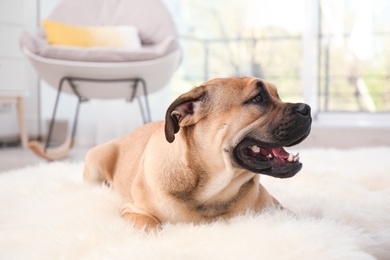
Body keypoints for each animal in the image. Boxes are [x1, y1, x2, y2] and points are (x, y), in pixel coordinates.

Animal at [84, 76, 312, 232]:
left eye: (277, 95)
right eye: (258, 98)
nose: (306, 108)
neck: (212, 190)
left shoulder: (277, 208)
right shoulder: (134, 210)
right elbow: (150, 226)